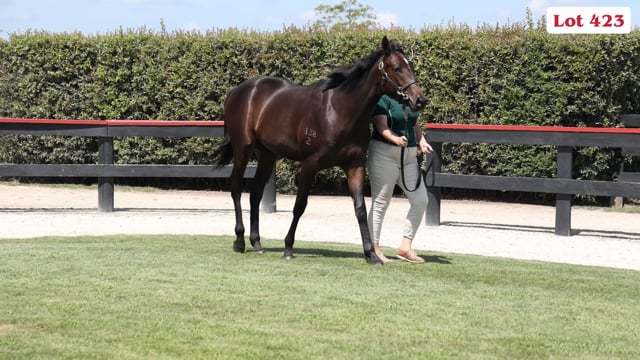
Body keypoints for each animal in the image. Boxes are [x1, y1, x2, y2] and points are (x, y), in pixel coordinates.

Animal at [212, 35, 428, 264]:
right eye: (396, 68)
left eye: (411, 66)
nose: (420, 100)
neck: (340, 110)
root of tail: (237, 91)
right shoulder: (310, 164)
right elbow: (300, 205)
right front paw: (288, 247)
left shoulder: (355, 165)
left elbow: (360, 208)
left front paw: (371, 254)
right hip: (243, 149)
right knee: (236, 188)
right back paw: (239, 240)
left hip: (268, 155)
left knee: (255, 193)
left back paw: (256, 242)